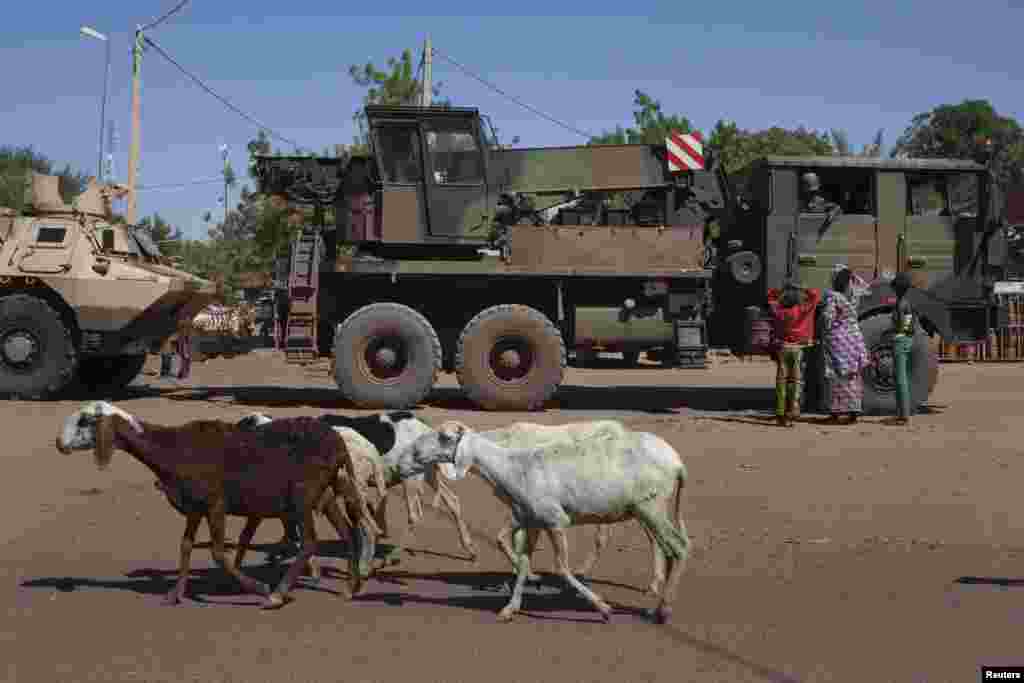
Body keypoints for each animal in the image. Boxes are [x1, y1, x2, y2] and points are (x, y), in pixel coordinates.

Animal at [397, 419, 688, 622]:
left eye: (445, 437)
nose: (407, 458)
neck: (513, 466)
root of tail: (677, 462)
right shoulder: (533, 521)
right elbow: (524, 561)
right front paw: (510, 608)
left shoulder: (555, 520)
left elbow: (561, 568)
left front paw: (603, 608)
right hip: (648, 510)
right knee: (670, 548)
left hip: (651, 506)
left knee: (679, 548)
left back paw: (663, 610)